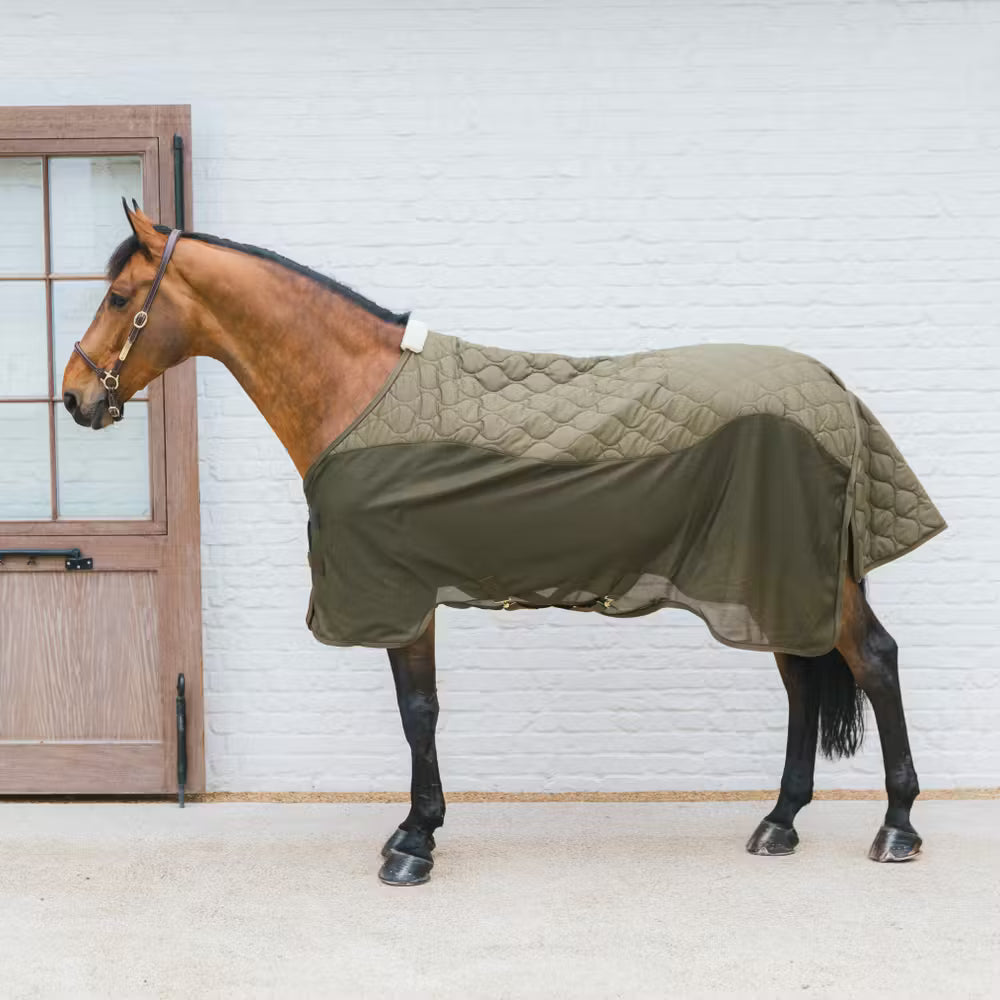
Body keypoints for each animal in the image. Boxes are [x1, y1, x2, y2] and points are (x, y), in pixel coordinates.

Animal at [61, 201, 945, 886]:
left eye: (117, 296)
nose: (72, 397)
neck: (357, 392)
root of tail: (831, 388)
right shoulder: (400, 592)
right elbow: (416, 708)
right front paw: (411, 829)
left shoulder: (398, 591)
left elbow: (419, 711)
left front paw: (413, 845)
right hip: (774, 576)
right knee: (802, 685)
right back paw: (780, 822)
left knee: (875, 661)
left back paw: (897, 829)